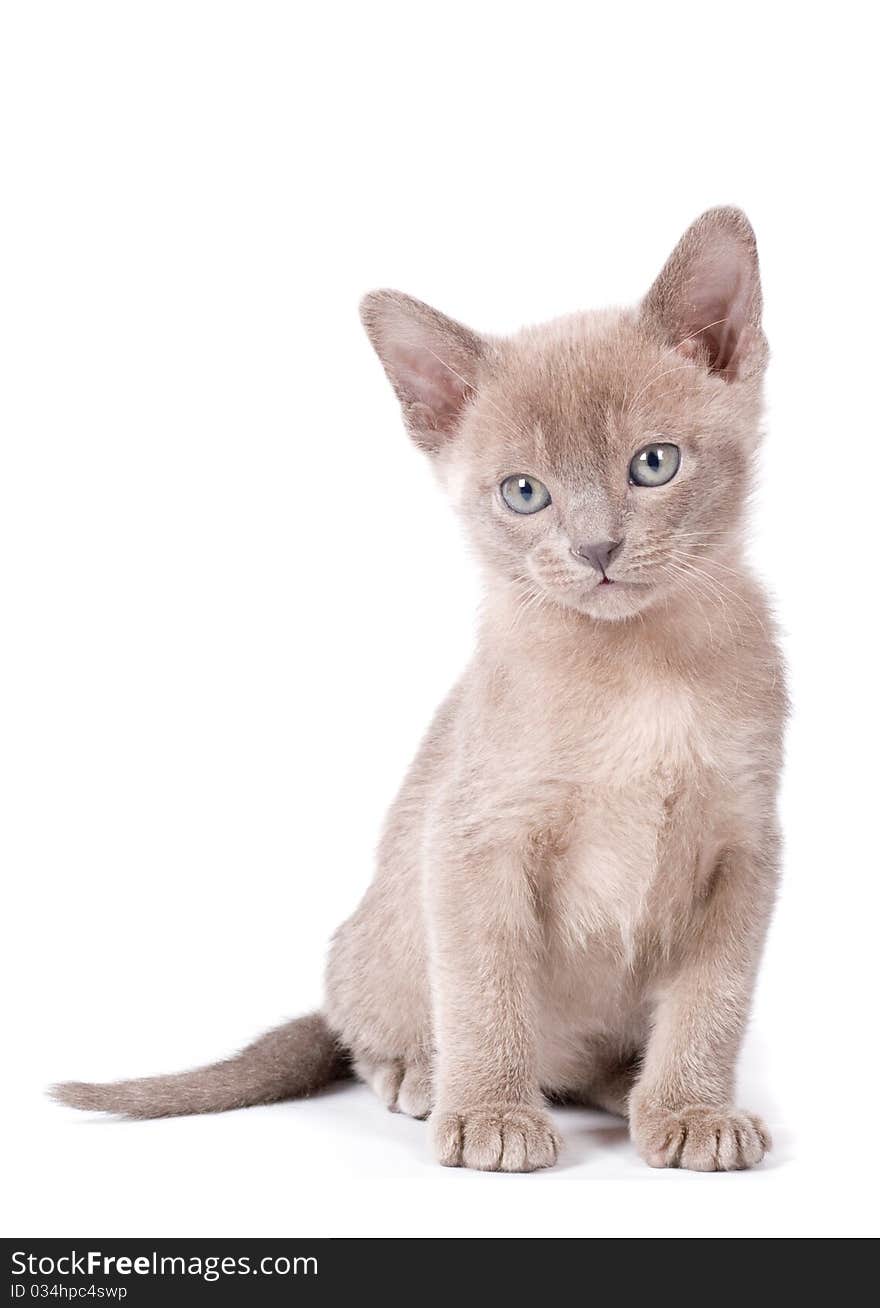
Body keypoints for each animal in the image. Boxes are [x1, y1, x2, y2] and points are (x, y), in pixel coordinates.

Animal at [53, 209, 784, 1171]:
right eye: (524, 493)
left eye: (654, 465)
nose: (594, 550)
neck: (638, 671)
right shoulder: (474, 840)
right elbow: (484, 991)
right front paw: (491, 1116)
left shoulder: (743, 850)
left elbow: (712, 1002)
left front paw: (692, 1110)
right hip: (380, 938)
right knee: (364, 1028)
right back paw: (425, 1075)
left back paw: (624, 1091)